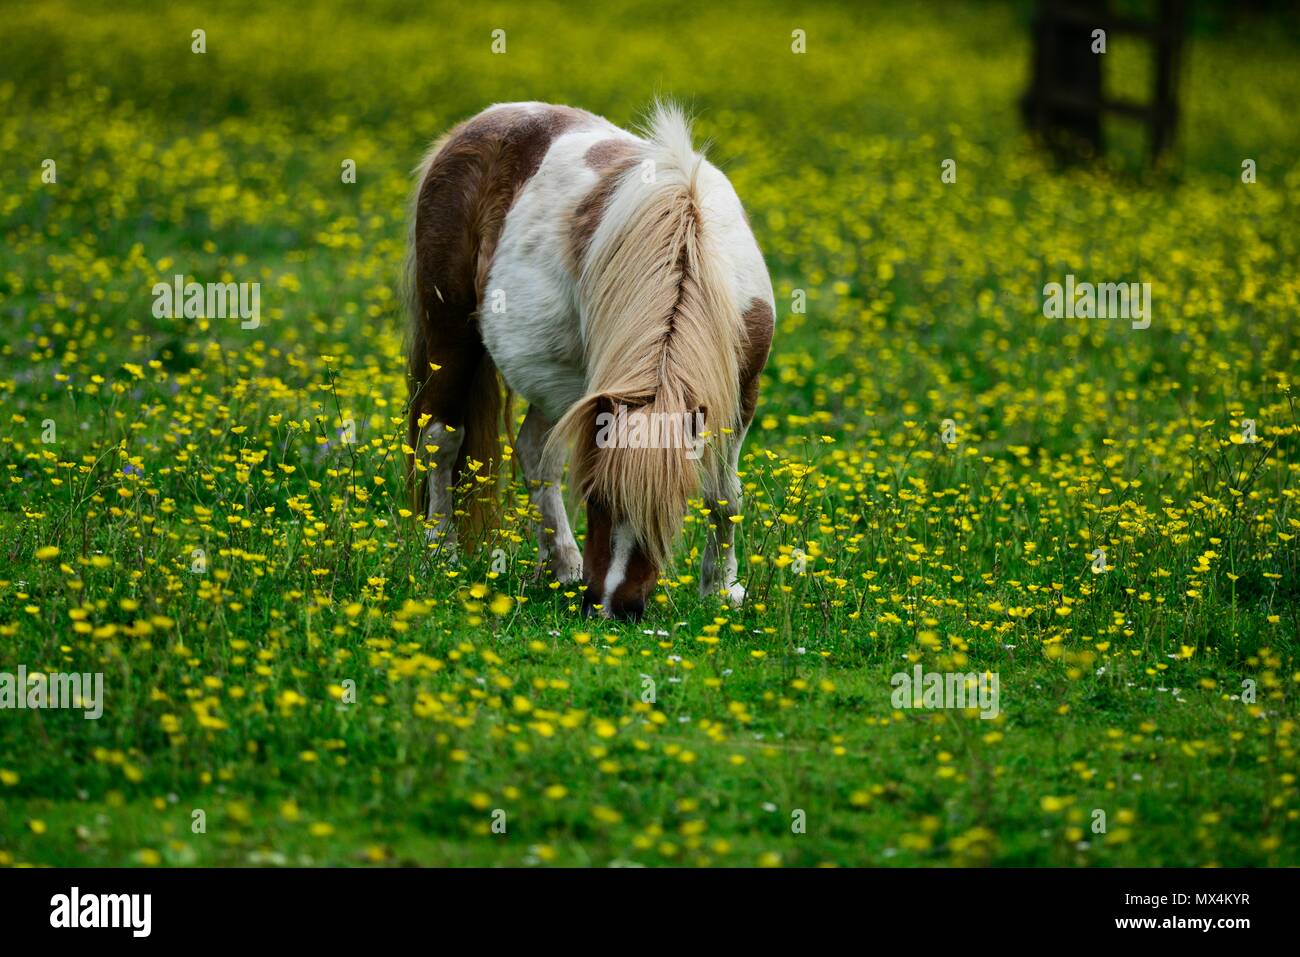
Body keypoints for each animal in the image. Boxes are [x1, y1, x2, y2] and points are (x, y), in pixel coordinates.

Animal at [405, 98, 769, 621]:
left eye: (671, 506)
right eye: (594, 498)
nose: (611, 608)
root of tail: (475, 125)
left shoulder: (740, 393)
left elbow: (725, 495)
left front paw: (721, 588)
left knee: (534, 451)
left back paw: (562, 564)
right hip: (451, 333)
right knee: (442, 437)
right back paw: (442, 550)